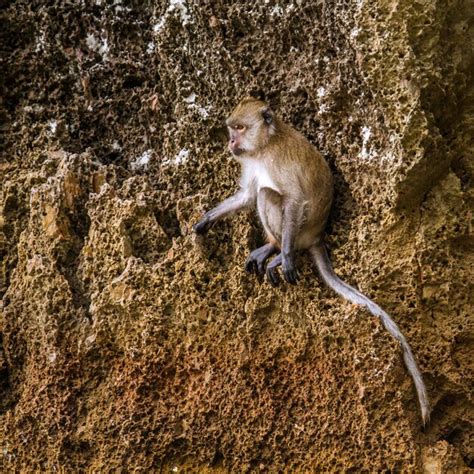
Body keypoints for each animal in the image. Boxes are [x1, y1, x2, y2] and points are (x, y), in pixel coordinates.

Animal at [193, 96, 430, 426]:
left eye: (239, 128)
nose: (231, 142)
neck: (264, 146)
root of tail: (316, 237)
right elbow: (246, 196)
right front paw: (206, 220)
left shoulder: (278, 164)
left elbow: (293, 199)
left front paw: (286, 258)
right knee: (261, 194)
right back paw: (270, 248)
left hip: (300, 231)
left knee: (269, 196)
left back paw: (279, 251)